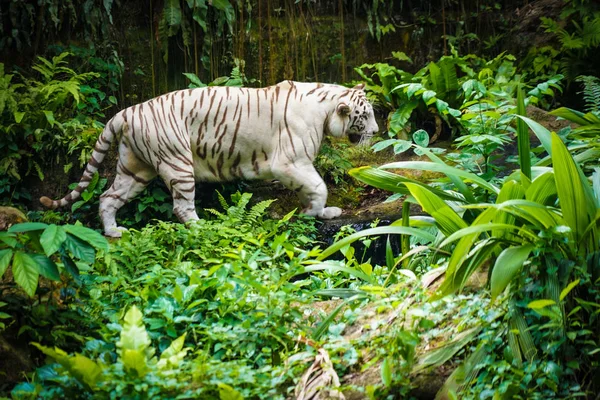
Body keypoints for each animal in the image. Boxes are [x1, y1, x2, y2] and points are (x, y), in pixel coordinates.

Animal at [41, 81, 380, 238]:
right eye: (365, 116)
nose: (377, 132)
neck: (326, 109)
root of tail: (126, 111)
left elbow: (310, 188)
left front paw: (318, 212)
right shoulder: (288, 162)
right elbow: (318, 186)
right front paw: (314, 212)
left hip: (135, 169)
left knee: (108, 196)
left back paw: (113, 231)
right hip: (178, 162)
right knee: (181, 207)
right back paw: (203, 228)